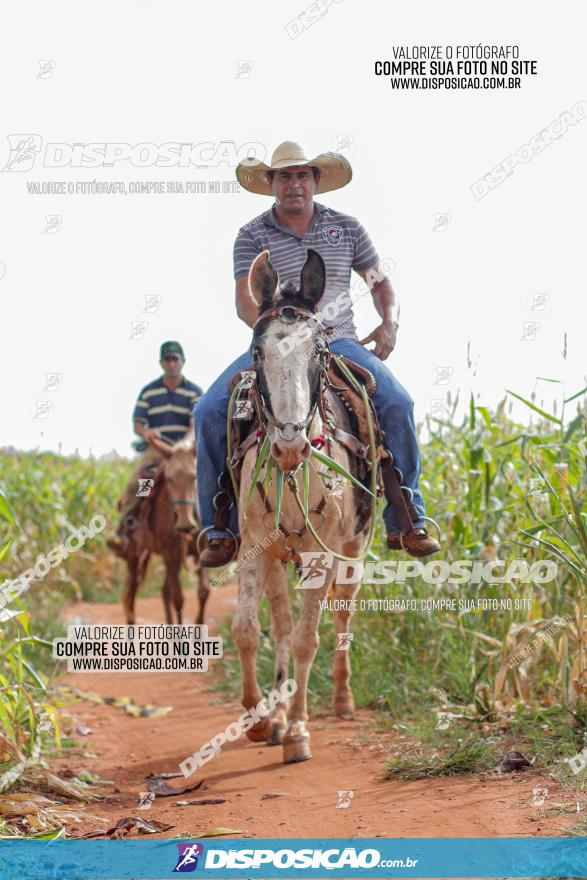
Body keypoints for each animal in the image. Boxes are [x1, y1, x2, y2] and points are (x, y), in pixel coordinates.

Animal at [120, 434, 210, 624]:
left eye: (194, 476)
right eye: (169, 479)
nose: (185, 525)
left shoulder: (201, 553)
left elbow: (203, 592)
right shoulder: (171, 556)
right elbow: (178, 600)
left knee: (163, 590)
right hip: (134, 555)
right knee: (131, 594)